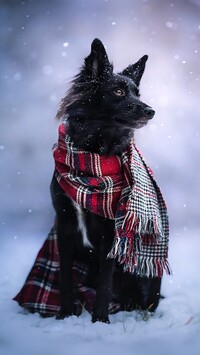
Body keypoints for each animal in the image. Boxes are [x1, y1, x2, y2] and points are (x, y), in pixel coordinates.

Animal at [51, 39, 161, 326]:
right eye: (119, 91)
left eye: (137, 93)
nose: (150, 111)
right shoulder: (64, 221)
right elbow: (64, 275)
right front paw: (64, 313)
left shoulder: (111, 231)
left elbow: (105, 280)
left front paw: (100, 319)